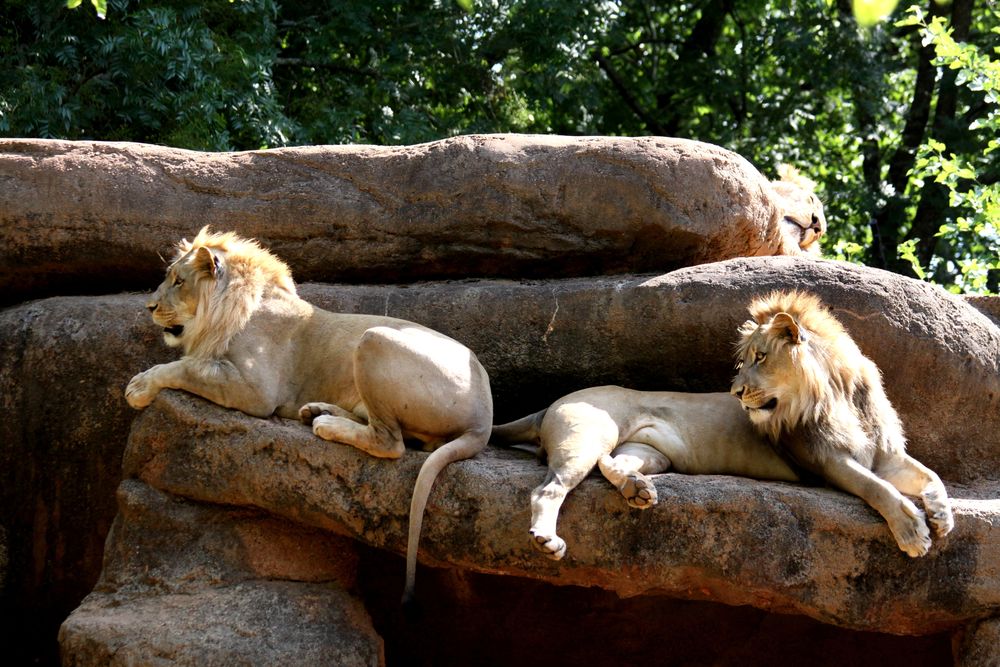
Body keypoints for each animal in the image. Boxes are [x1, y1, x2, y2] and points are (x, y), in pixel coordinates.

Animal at [125, 227, 494, 602]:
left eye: (178, 281)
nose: (149, 306)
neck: (228, 309)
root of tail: (485, 417)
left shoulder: (257, 390)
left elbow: (187, 367)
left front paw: (140, 386)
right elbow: (191, 364)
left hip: (374, 338)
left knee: (391, 442)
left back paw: (327, 424)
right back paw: (317, 409)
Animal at [491, 387, 801, 560]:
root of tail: (546, 408)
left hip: (648, 450)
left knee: (612, 462)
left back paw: (638, 489)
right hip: (589, 434)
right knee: (549, 489)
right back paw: (547, 540)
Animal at [731, 290, 953, 557]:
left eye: (761, 356)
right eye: (743, 361)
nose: (735, 393)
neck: (835, 394)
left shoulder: (885, 455)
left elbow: (930, 473)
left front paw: (942, 512)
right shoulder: (828, 458)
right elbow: (874, 485)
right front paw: (911, 531)